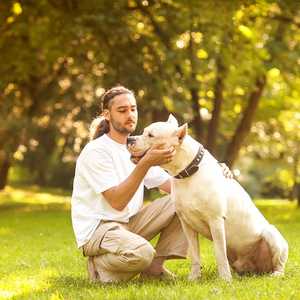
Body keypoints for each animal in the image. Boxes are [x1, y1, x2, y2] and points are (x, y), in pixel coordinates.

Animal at [126, 115, 288, 282]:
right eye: (144, 131)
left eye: (151, 135)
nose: (129, 139)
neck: (187, 172)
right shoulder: (186, 224)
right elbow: (194, 254)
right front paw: (193, 277)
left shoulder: (215, 220)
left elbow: (219, 253)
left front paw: (225, 279)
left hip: (272, 234)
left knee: (279, 264)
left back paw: (275, 274)